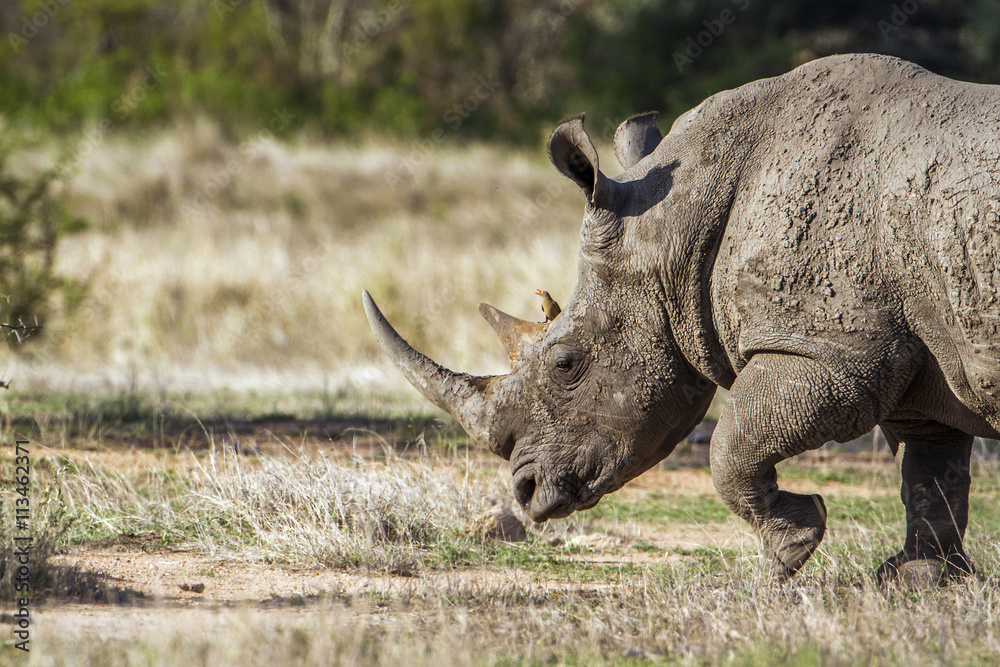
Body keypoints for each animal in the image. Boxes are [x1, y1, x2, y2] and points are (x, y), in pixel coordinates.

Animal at [364, 53, 1000, 583]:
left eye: (566, 363)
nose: (525, 491)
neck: (678, 225)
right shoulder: (919, 357)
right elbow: (931, 469)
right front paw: (920, 581)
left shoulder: (834, 351)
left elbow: (732, 441)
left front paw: (791, 551)